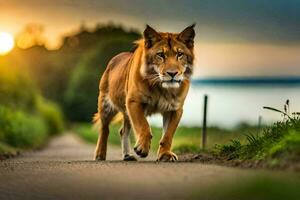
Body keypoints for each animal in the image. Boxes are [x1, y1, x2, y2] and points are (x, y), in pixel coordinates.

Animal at [94, 24, 196, 162]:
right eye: (160, 55)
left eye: (180, 54)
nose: (172, 73)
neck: (161, 88)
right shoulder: (134, 101)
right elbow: (143, 125)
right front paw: (142, 148)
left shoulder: (175, 109)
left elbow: (168, 134)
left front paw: (165, 155)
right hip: (106, 105)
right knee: (104, 129)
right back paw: (100, 154)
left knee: (123, 131)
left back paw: (127, 155)